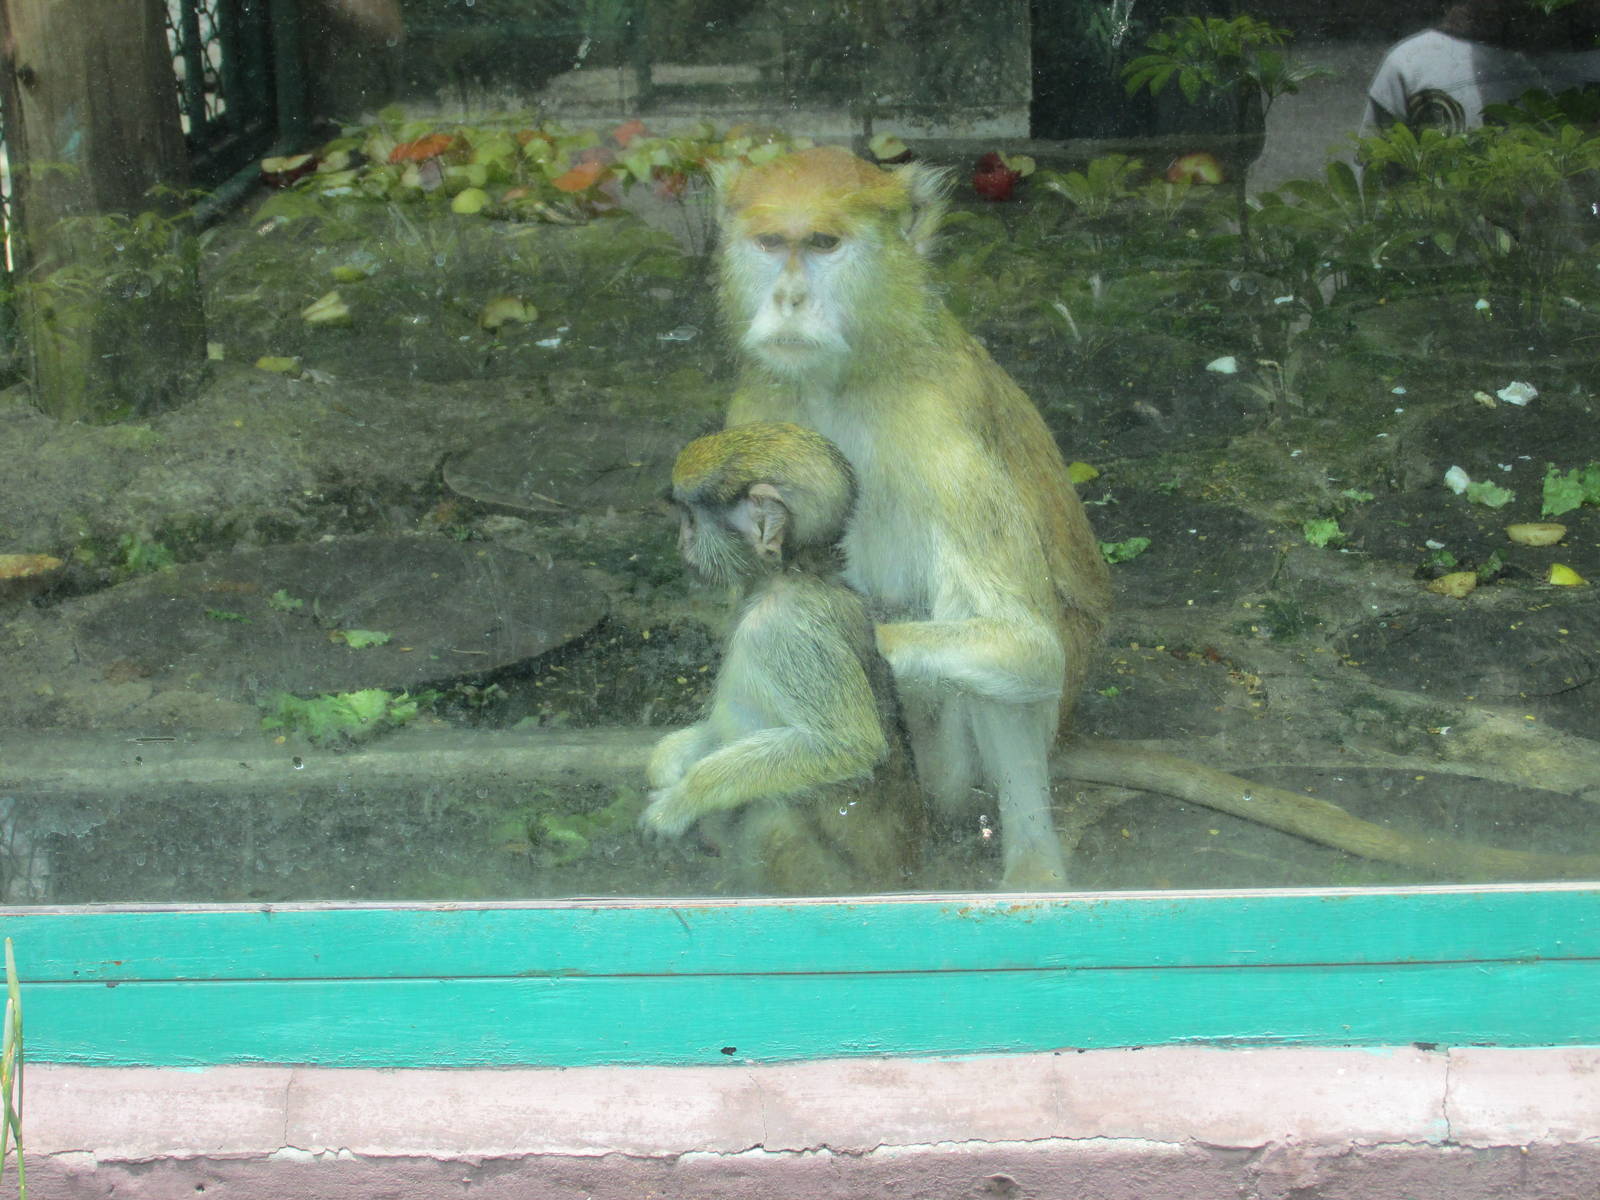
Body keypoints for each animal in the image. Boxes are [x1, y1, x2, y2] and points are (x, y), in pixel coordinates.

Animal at [640, 421, 924, 895]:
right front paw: (668, 760)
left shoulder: (785, 631)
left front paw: (683, 798)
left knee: (773, 817)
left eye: (691, 519)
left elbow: (850, 745)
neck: (796, 573)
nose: (681, 543)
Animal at [710, 145, 1113, 890]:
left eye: (824, 244)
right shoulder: (755, 408)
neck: (849, 372)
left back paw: (1032, 866)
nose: (788, 300)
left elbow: (1023, 644)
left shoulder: (940, 424)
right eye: (771, 243)